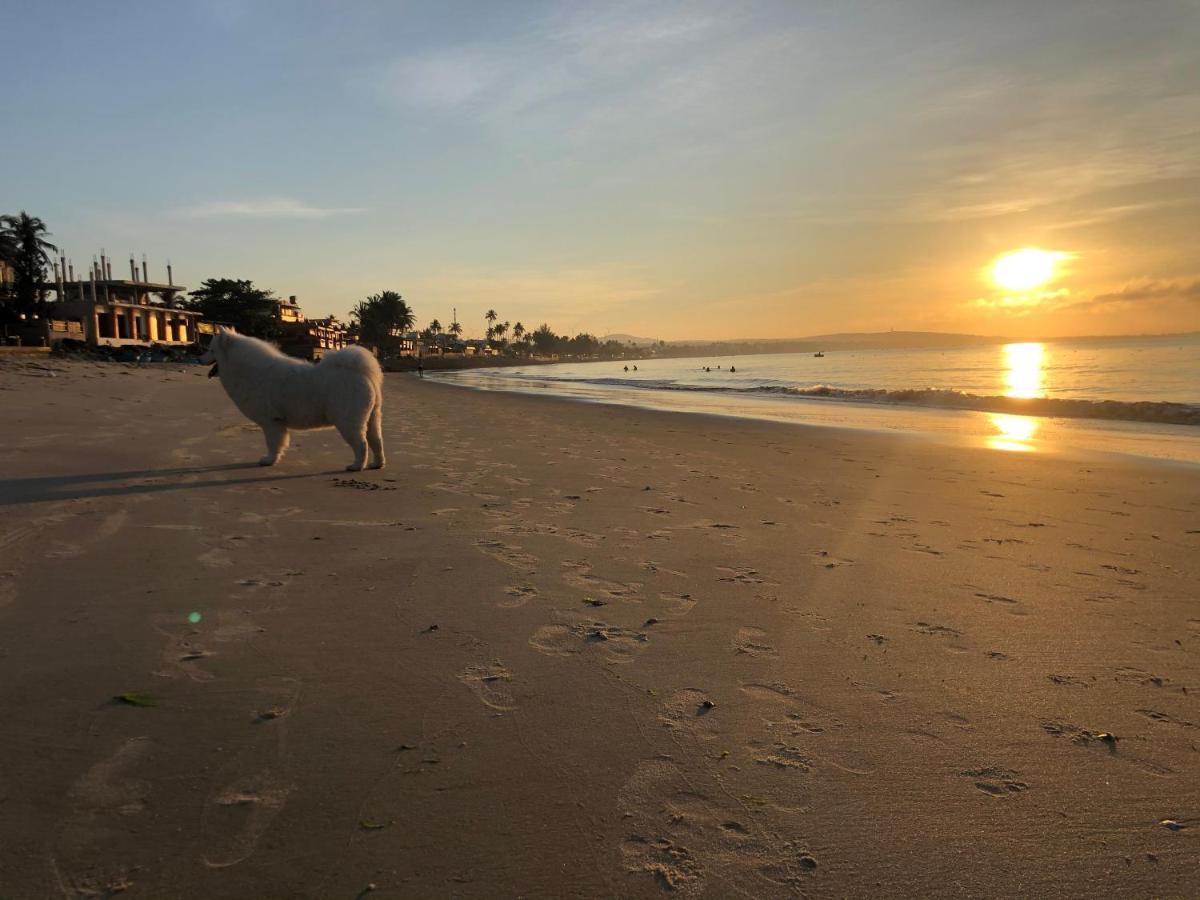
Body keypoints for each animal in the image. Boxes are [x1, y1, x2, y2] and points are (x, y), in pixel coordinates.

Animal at [202, 328, 384, 472]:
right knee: (376, 442)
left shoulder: (271, 422)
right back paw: (377, 464)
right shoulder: (277, 423)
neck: (249, 371)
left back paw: (356, 466)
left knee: (362, 445)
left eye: (211, 350)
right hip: (372, 419)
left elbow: (272, 443)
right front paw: (273, 459)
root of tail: (360, 373)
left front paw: (269, 460)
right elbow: (278, 443)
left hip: (348, 421)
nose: (199, 358)